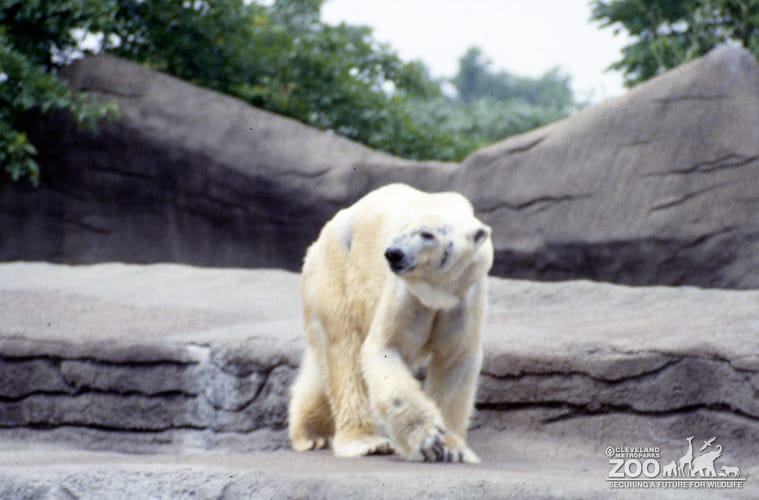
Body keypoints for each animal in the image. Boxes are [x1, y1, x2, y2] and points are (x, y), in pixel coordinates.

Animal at [288, 183, 493, 463]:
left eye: (426, 234)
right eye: (400, 229)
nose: (394, 253)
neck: (437, 293)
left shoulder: (463, 300)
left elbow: (455, 361)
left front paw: (452, 448)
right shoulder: (406, 296)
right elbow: (385, 348)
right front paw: (428, 439)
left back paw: (311, 432)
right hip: (336, 277)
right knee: (344, 352)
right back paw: (364, 441)